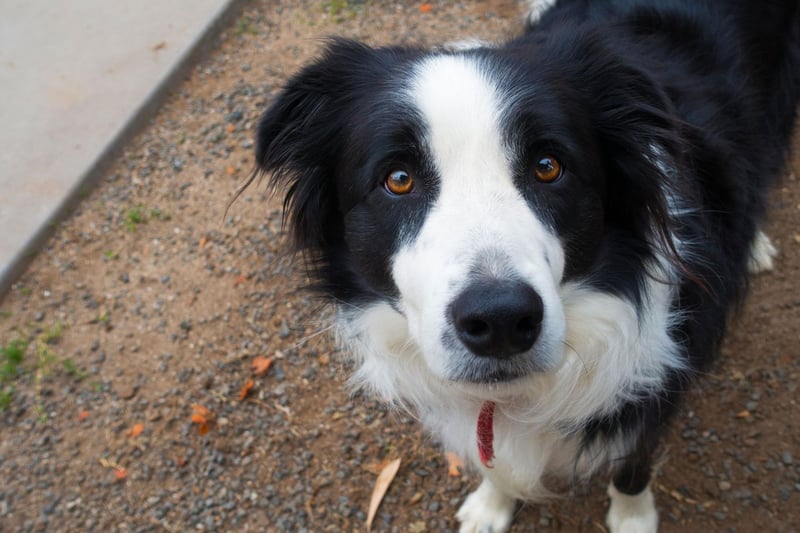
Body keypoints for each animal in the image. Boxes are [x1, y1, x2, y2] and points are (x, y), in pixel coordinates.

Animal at [247, 0, 796, 528]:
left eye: (548, 167)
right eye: (398, 179)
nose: (501, 320)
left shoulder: (661, 378)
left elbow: (633, 463)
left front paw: (633, 518)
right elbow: (494, 458)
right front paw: (491, 507)